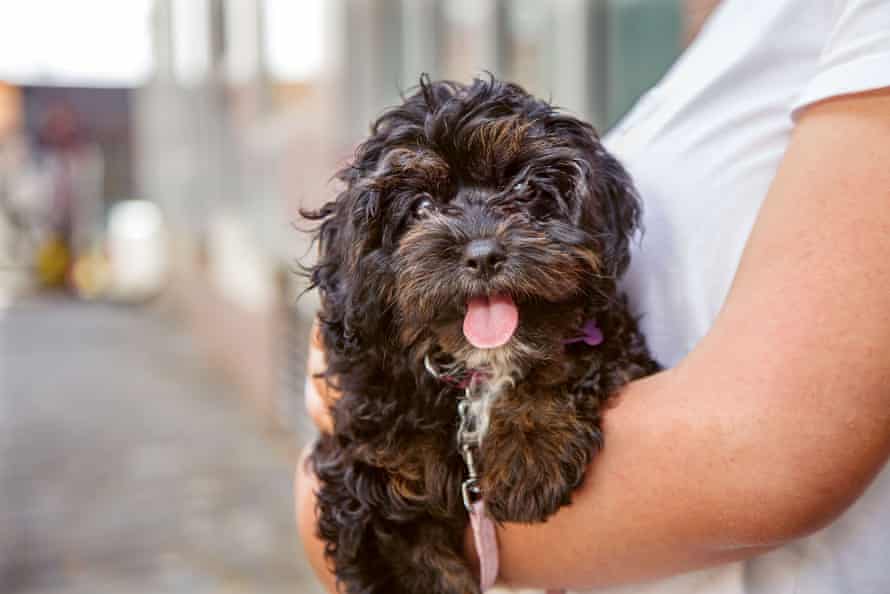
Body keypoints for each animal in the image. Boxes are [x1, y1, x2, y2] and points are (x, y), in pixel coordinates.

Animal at [302, 76, 656, 592]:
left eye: (524, 188)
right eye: (422, 206)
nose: (483, 254)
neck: (474, 369)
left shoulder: (613, 337)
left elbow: (567, 356)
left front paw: (529, 456)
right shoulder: (370, 474)